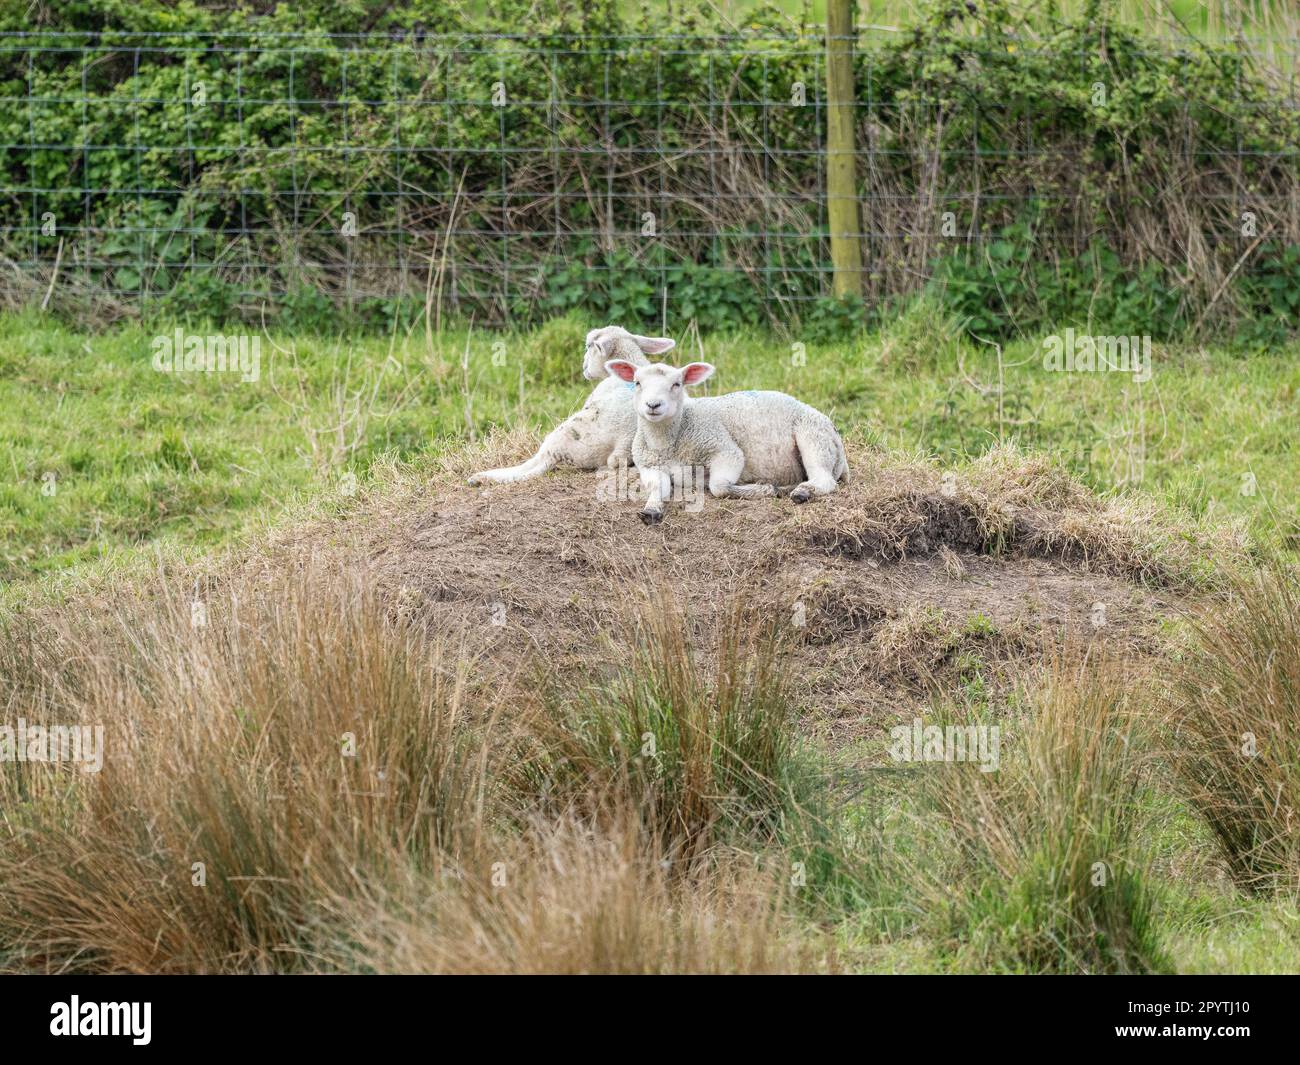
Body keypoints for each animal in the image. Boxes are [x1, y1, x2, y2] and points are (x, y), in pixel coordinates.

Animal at [600, 358, 847, 525]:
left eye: (677, 384)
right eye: (637, 382)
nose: (653, 405)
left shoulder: (724, 449)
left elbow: (718, 486)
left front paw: (764, 490)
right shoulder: (648, 465)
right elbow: (658, 487)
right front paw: (651, 509)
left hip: (813, 437)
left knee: (825, 480)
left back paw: (802, 492)